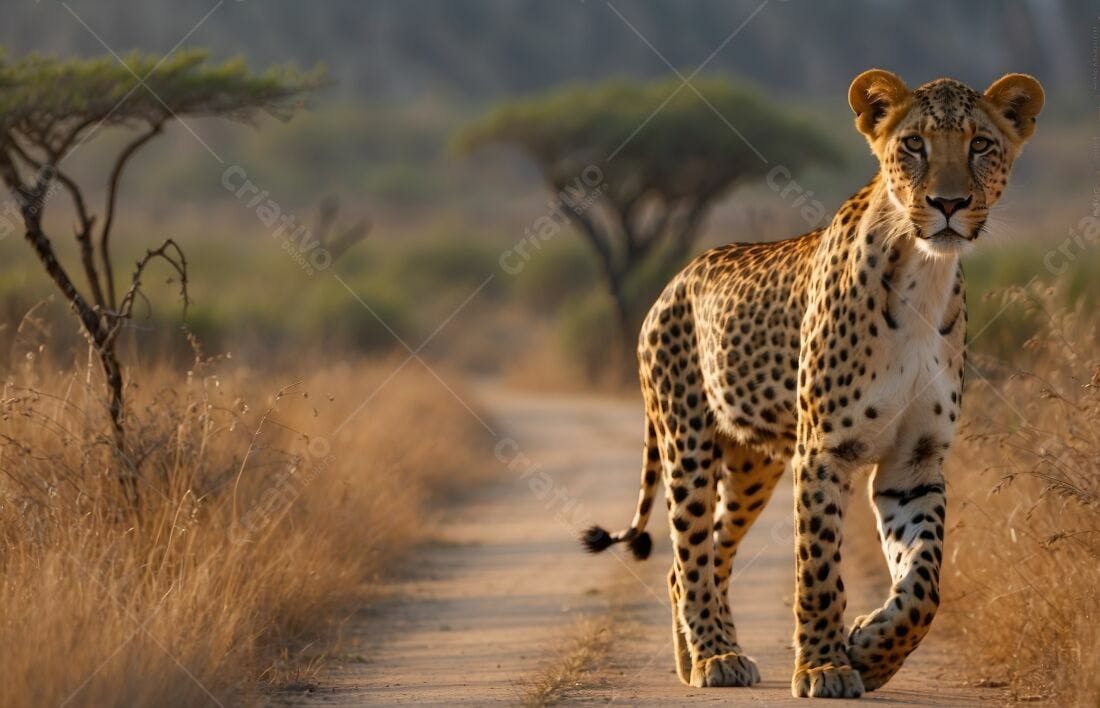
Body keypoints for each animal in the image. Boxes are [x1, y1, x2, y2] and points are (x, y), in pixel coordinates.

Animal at [581, 69, 1043, 698]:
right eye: (914, 145)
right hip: (689, 445)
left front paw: (871, 650)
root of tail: (675, 279)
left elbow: (924, 583)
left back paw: (696, 655)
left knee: (699, 557)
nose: (948, 204)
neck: (923, 273)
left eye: (980, 145)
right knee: (692, 552)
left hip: (753, 468)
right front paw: (825, 665)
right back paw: (715, 656)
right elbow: (818, 567)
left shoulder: (914, 463)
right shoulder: (824, 452)